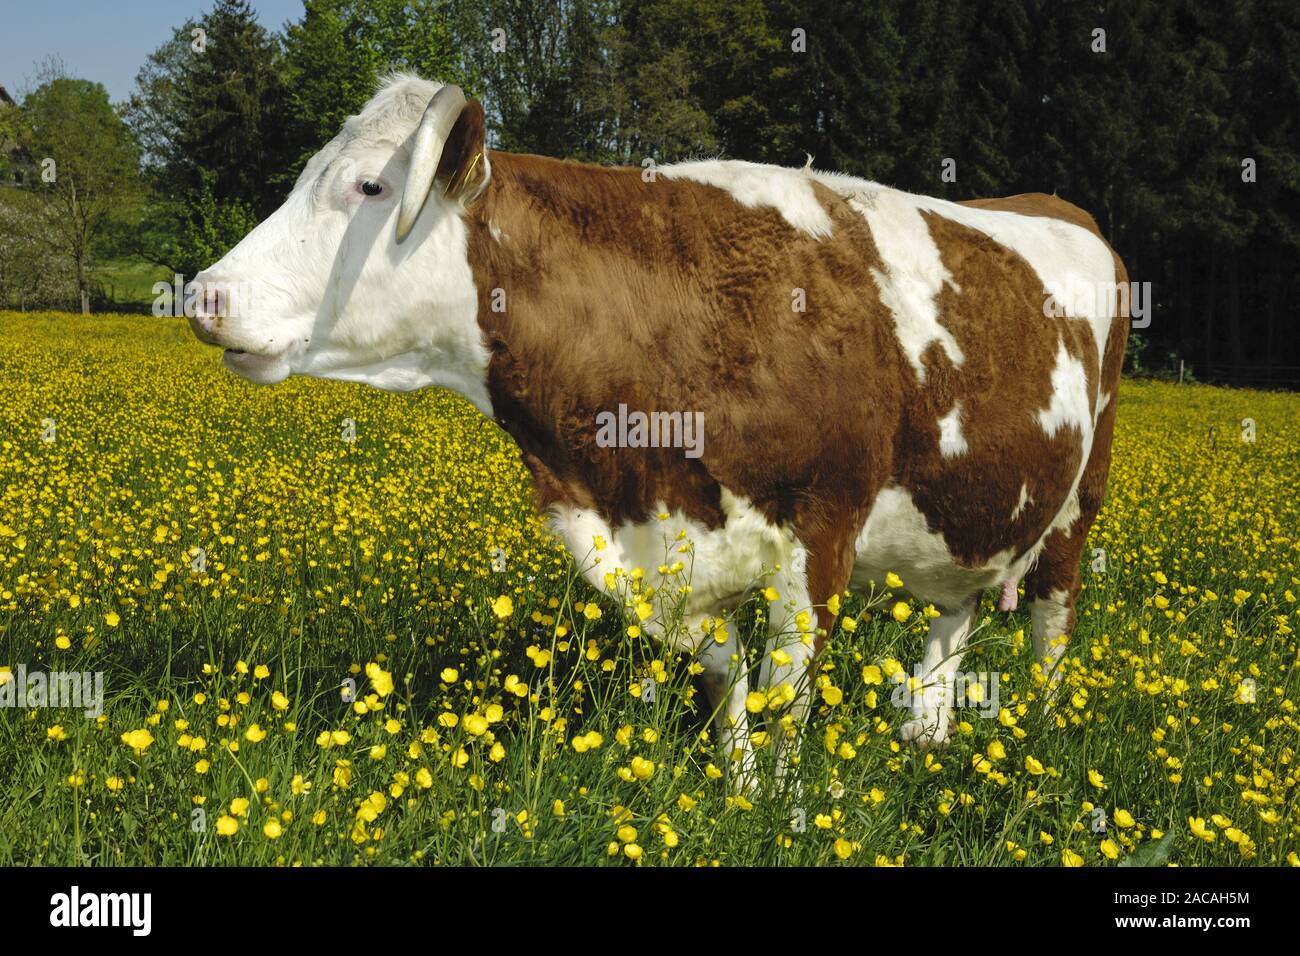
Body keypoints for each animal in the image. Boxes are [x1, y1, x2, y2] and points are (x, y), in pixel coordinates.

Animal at [187, 76, 1129, 791]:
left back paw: (1042, 738)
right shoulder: (663, 545)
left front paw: (784, 810)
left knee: (1052, 622)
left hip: (1082, 496)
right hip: (973, 503)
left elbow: (787, 695)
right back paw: (925, 733)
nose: (202, 293)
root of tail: (1058, 205)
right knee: (957, 609)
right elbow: (729, 681)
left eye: (370, 188)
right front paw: (740, 791)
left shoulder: (821, 529)